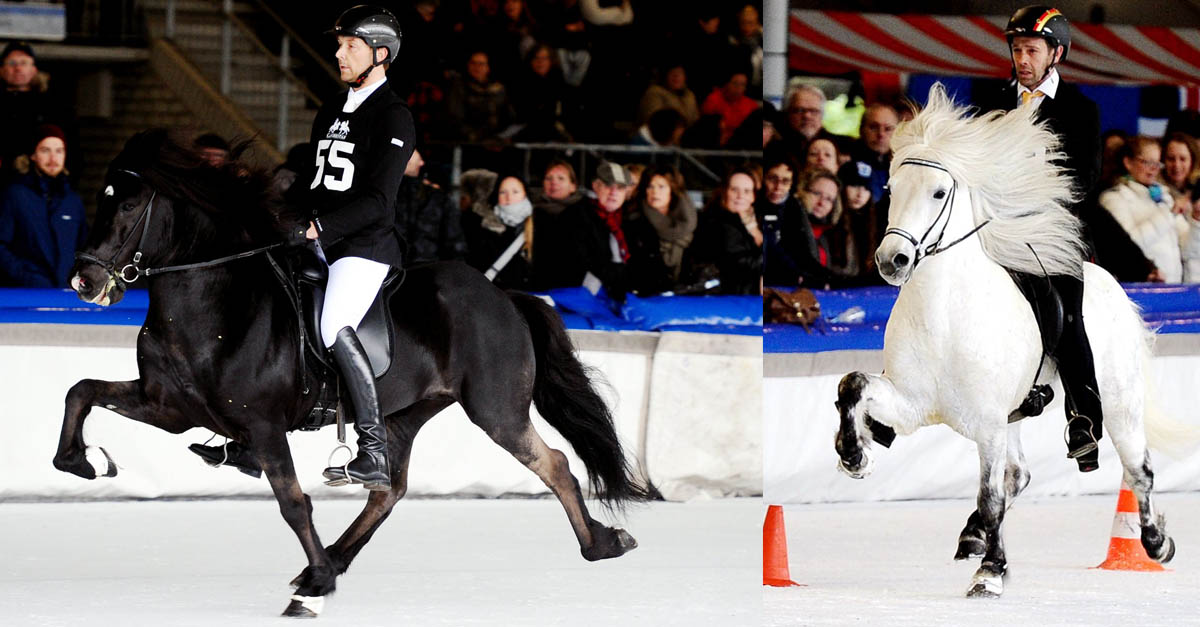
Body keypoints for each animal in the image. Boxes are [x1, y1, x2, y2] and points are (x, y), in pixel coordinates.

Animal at [58, 130, 648, 614]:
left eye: (129, 204)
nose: (83, 281)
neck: (213, 302)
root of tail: (503, 295)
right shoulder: (168, 406)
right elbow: (80, 391)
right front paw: (88, 461)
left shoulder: (265, 426)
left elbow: (294, 504)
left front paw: (317, 584)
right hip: (404, 413)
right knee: (388, 488)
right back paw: (328, 563)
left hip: (496, 409)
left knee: (554, 464)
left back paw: (601, 544)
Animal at [835, 82, 1180, 595]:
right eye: (892, 189)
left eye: (939, 192)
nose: (892, 260)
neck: (944, 315)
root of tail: (1112, 285)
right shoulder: (913, 404)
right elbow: (853, 384)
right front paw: (855, 455)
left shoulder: (989, 424)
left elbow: (991, 493)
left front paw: (990, 574)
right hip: (1018, 412)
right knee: (1022, 474)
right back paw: (972, 534)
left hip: (1118, 405)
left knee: (1138, 470)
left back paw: (1157, 543)